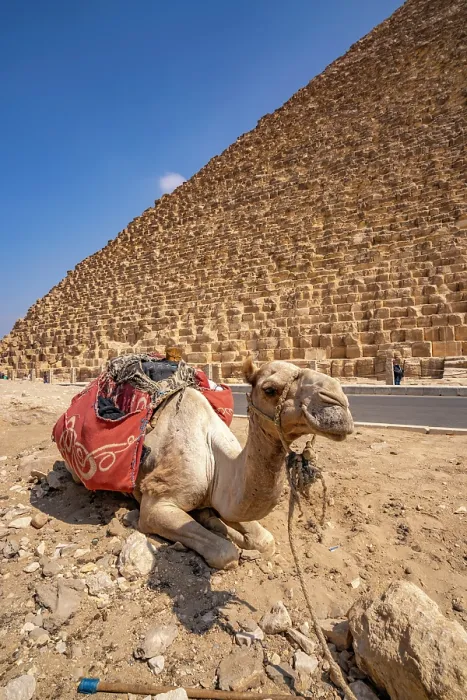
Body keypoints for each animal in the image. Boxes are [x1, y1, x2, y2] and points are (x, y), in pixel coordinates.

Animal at [132, 358, 354, 569]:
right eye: (270, 389)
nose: (338, 401)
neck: (214, 465)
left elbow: (265, 540)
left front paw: (217, 522)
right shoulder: (155, 506)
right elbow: (225, 553)